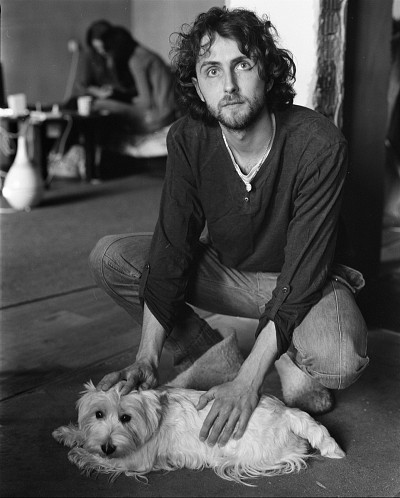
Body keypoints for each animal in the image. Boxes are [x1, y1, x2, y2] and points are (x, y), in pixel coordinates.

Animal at [52, 380, 345, 485]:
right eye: (98, 414)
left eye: (126, 418)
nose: (107, 446)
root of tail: (287, 413)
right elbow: (86, 437)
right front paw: (68, 434)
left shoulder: (135, 460)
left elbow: (104, 461)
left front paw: (80, 454)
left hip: (252, 454)